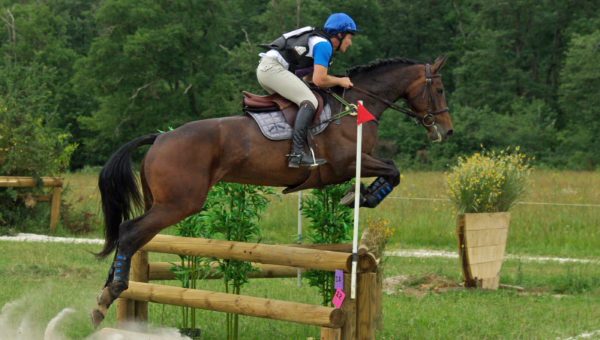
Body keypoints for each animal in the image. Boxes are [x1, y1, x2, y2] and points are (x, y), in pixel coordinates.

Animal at [91, 54, 452, 326]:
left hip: (162, 202)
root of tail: (160, 137)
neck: (353, 106)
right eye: (439, 89)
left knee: (134, 237)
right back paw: (110, 293)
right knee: (129, 231)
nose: (446, 131)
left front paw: (359, 195)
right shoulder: (348, 162)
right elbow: (393, 170)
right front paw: (361, 196)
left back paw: (105, 294)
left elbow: (391, 170)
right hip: (179, 203)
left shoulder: (352, 165)